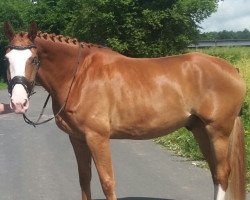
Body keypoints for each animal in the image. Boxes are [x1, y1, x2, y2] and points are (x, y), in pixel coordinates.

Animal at [3, 22, 246, 200]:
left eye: (34, 60)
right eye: (6, 59)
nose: (18, 102)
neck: (79, 75)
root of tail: (232, 69)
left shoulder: (97, 138)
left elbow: (107, 182)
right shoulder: (77, 139)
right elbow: (85, 180)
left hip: (218, 132)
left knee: (222, 174)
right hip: (200, 130)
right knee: (215, 174)